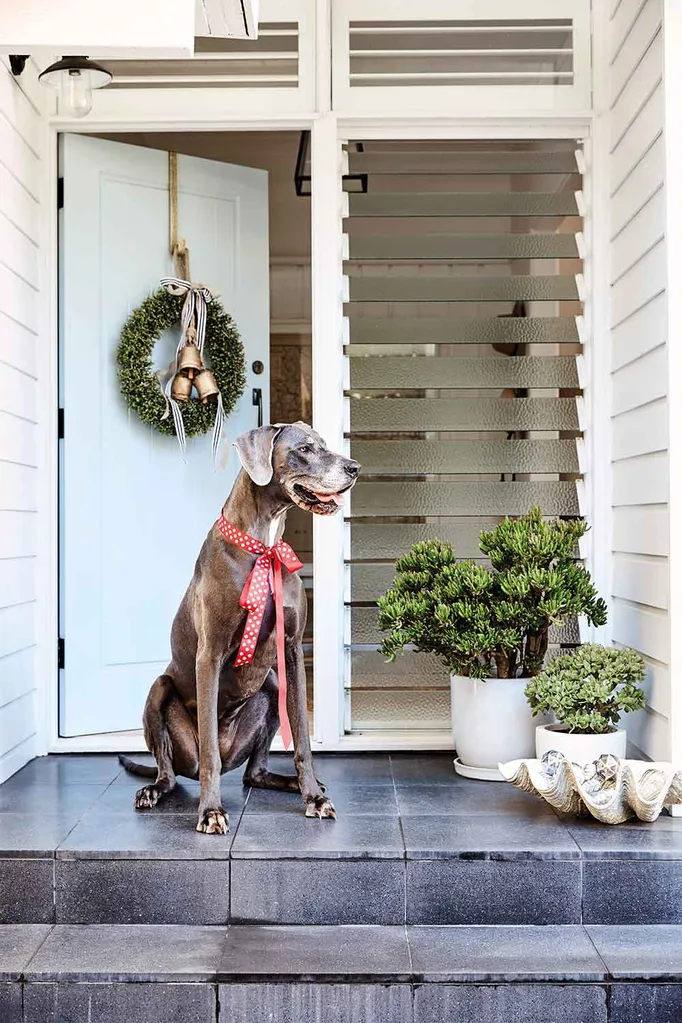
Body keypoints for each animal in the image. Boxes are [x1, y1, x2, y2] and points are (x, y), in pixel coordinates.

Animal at [120, 421, 359, 830]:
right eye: (305, 449)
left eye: (325, 445)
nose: (354, 468)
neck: (264, 546)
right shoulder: (209, 654)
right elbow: (210, 756)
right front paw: (211, 811)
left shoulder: (292, 650)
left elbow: (303, 738)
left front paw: (313, 796)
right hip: (160, 692)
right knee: (172, 771)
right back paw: (153, 790)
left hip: (271, 686)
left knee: (254, 773)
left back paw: (293, 783)